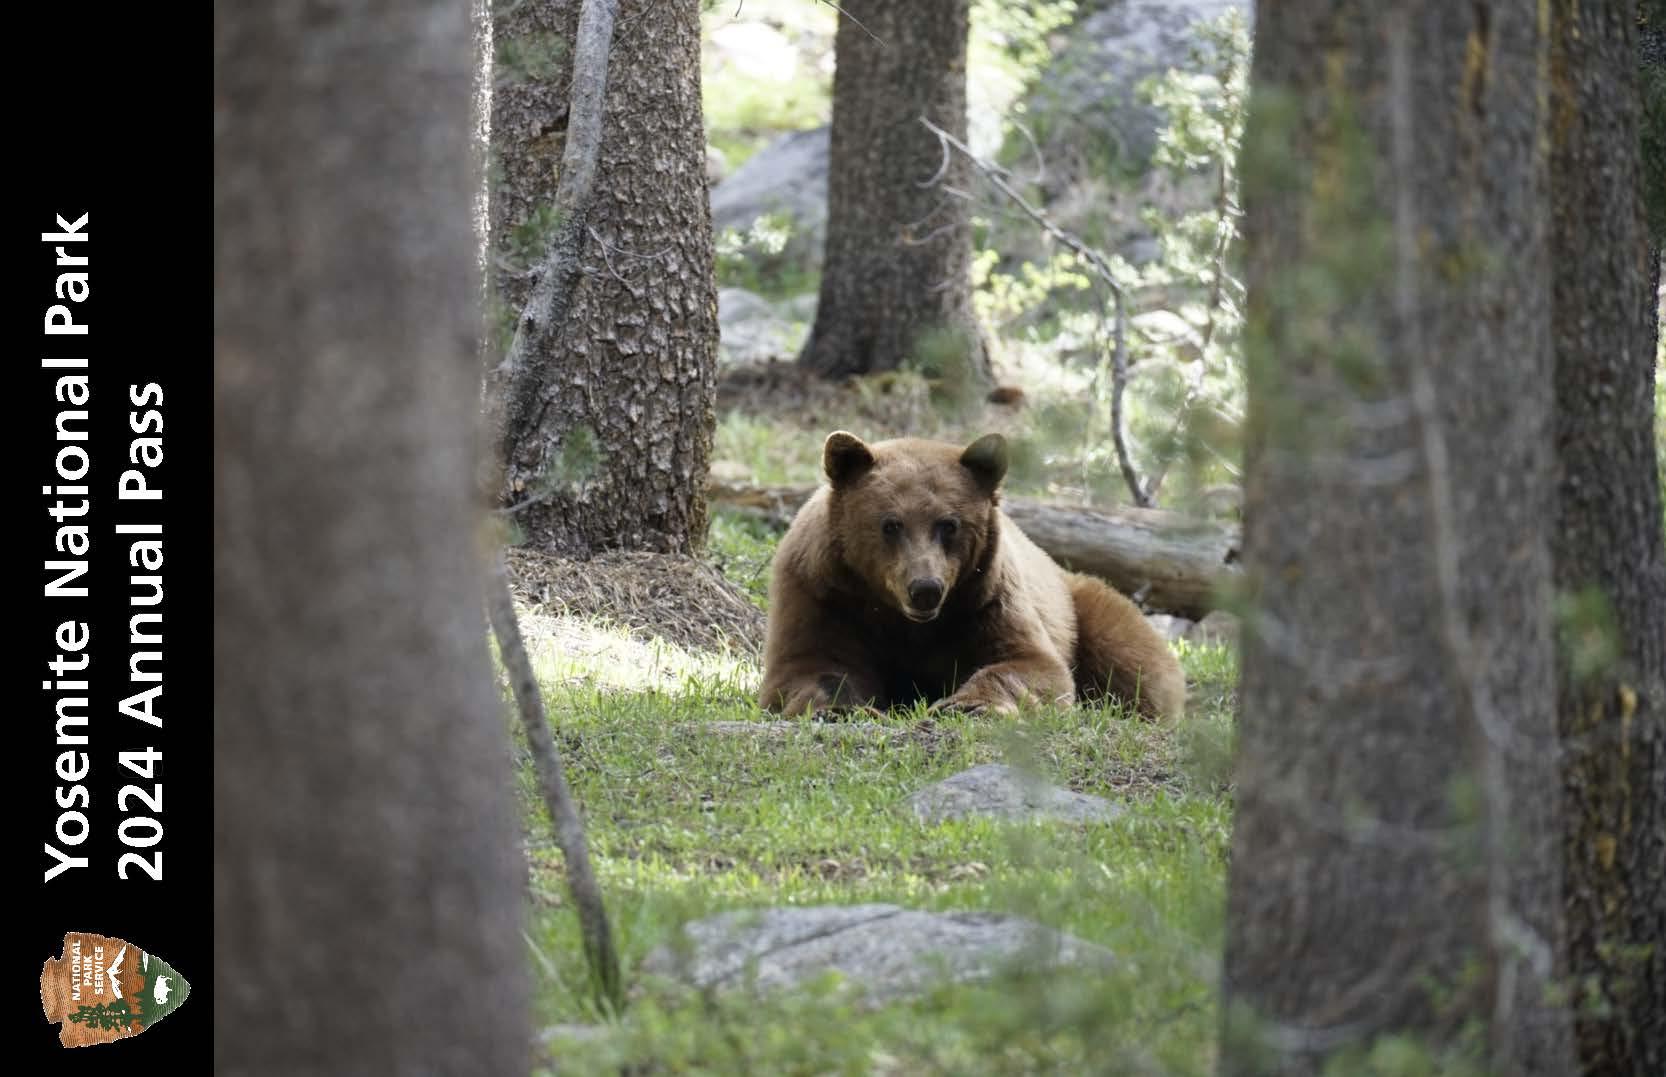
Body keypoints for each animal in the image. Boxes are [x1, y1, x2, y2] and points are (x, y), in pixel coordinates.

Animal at [756, 430, 1186, 726]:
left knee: (1132, 659)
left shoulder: (984, 598)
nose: (925, 589)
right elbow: (810, 665)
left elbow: (1030, 663)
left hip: (1083, 604)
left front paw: (966, 704)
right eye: (890, 524)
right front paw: (840, 708)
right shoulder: (822, 593)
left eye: (949, 524)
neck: (899, 618)